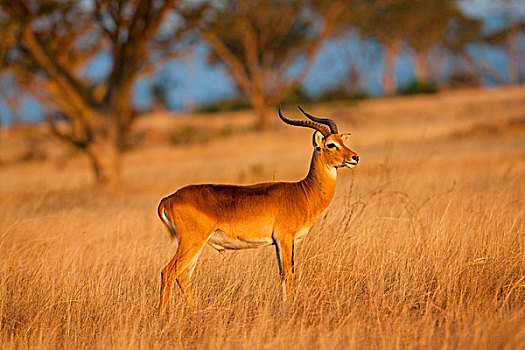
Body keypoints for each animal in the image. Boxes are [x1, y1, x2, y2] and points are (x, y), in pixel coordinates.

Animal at [158, 106, 358, 312]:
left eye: (342, 141)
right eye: (331, 144)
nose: (355, 157)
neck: (303, 193)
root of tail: (170, 198)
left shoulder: (278, 243)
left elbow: (281, 274)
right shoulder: (285, 239)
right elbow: (288, 273)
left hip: (195, 245)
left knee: (183, 276)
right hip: (191, 242)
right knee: (168, 272)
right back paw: (163, 316)